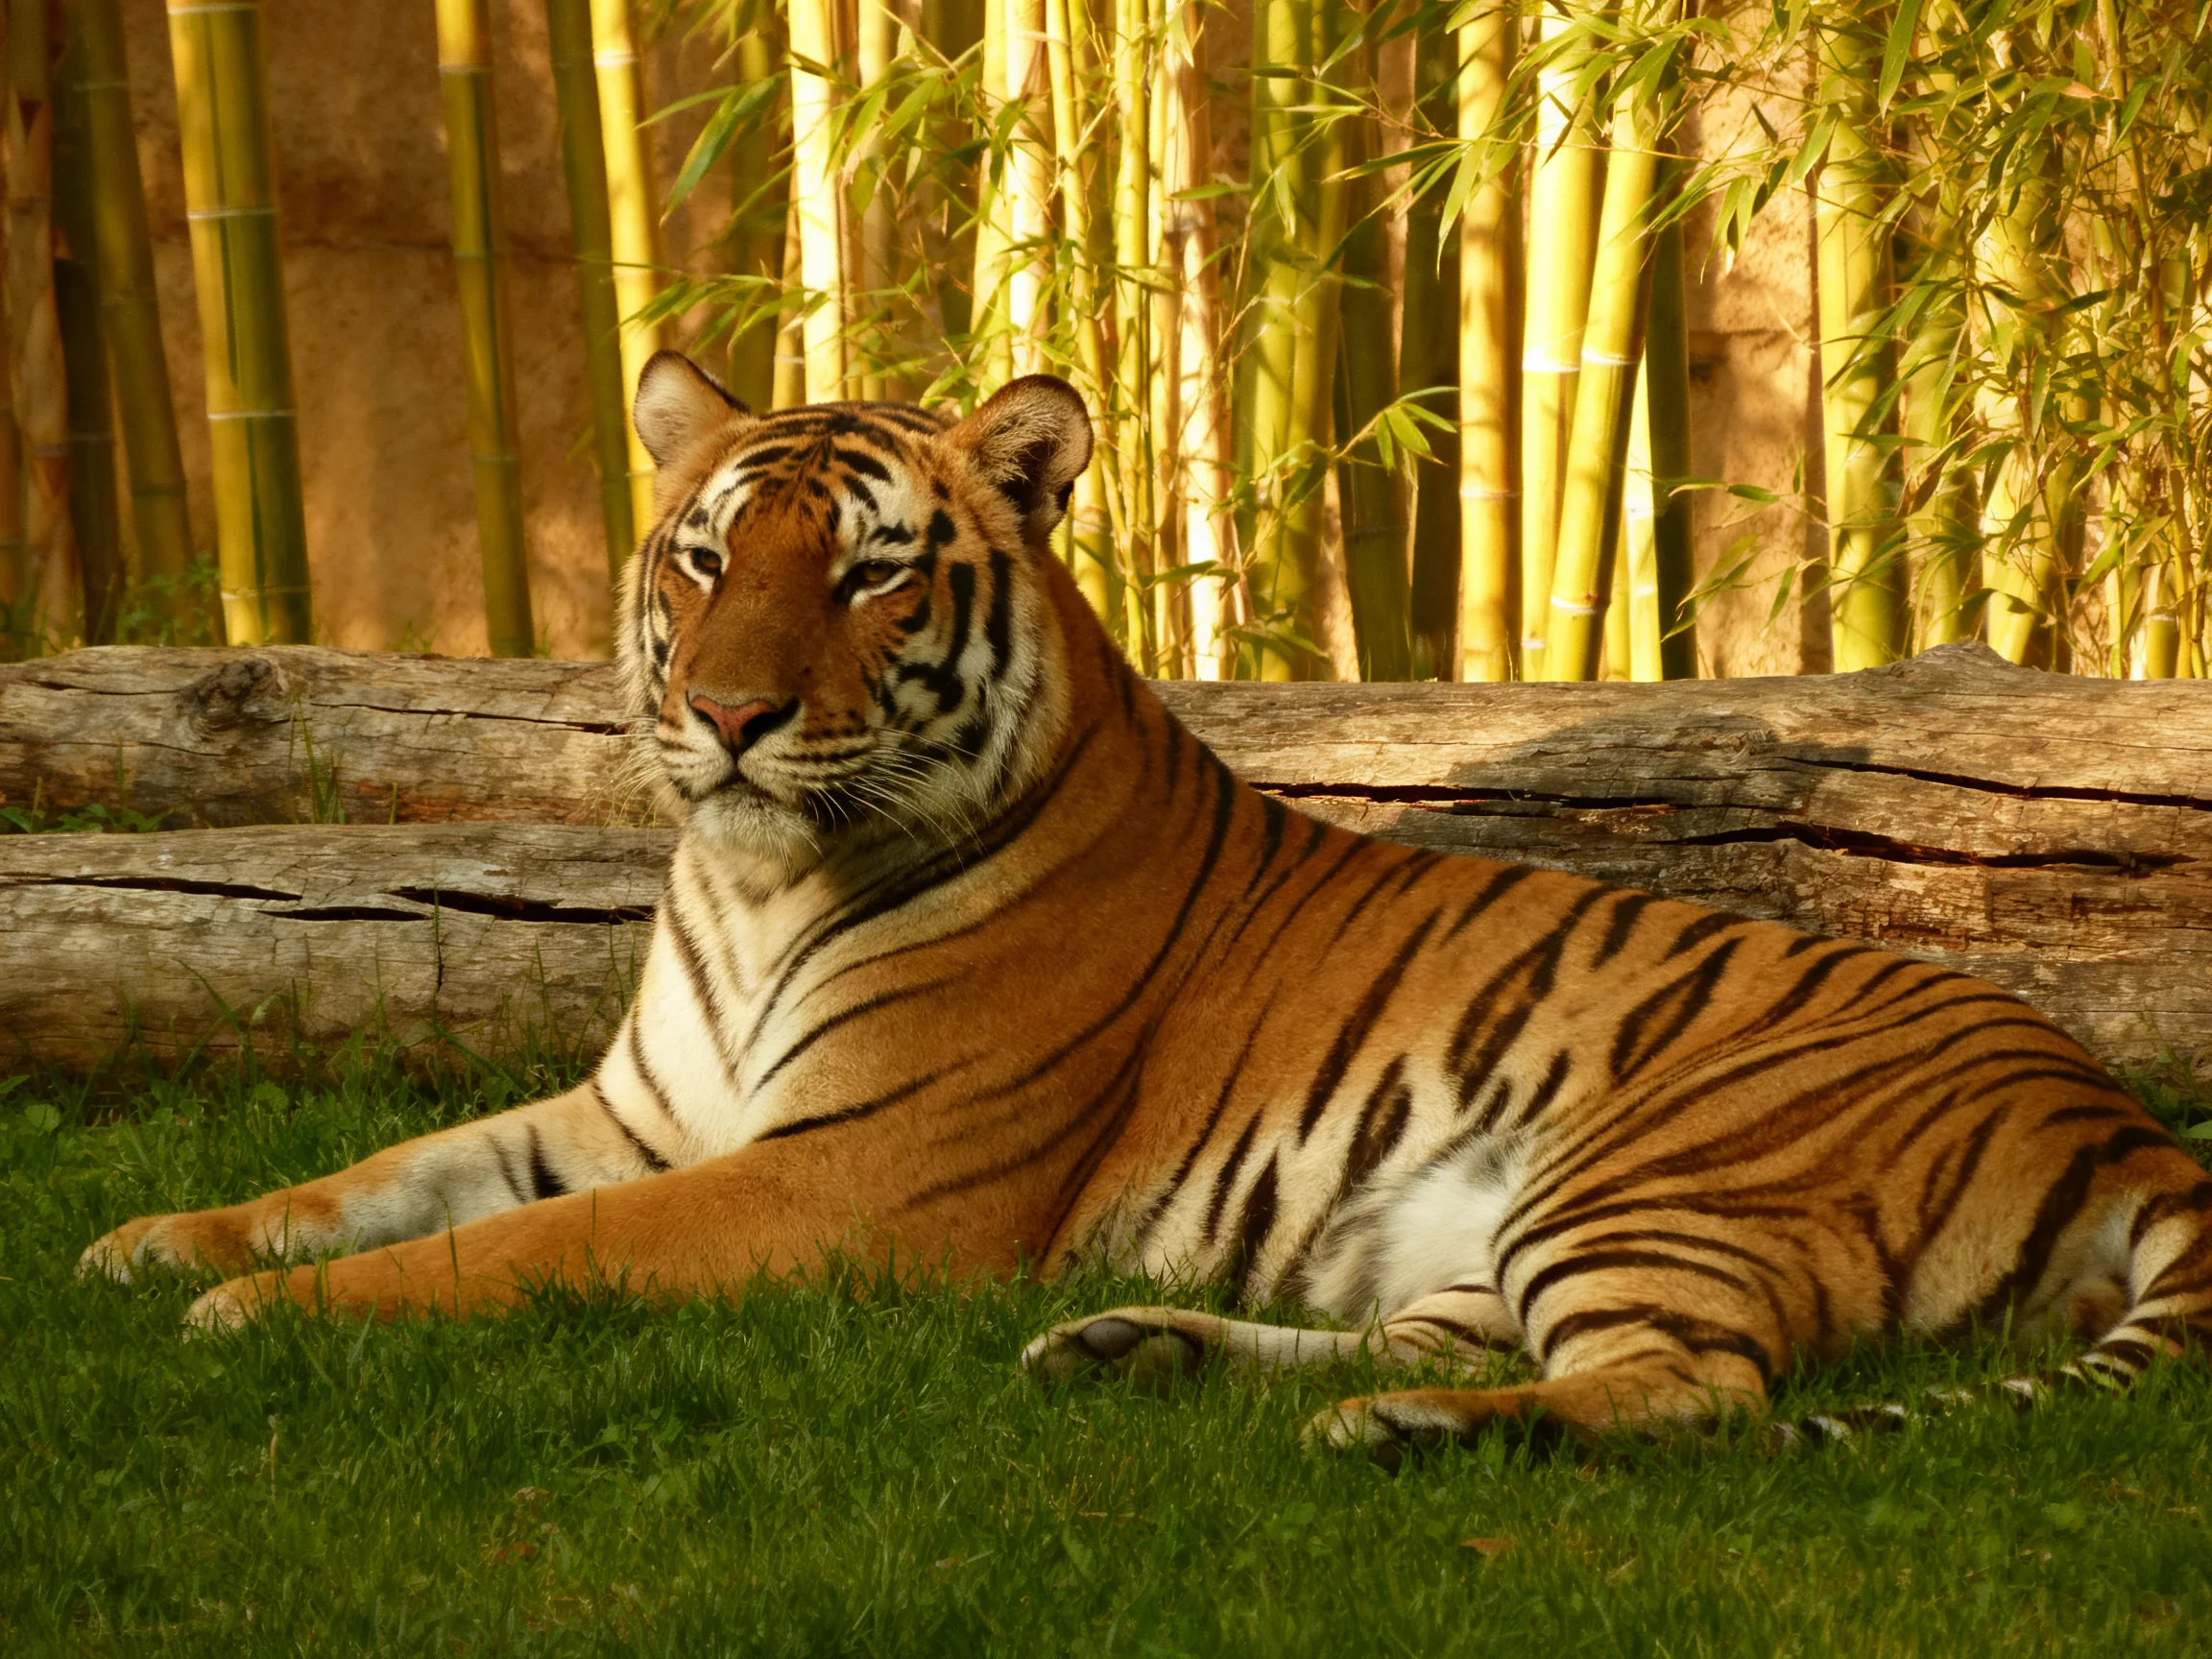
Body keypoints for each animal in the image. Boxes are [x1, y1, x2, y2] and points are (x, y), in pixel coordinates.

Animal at [81, 351, 2212, 1459]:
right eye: (701, 558)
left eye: (865, 573)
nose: (728, 714)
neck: (749, 884)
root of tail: (2109, 1108)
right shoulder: (633, 1115)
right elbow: (390, 1172)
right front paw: (155, 1244)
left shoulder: (840, 1178)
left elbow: (501, 1252)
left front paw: (253, 1316)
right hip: (1505, 1221)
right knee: (1494, 1343)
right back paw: (1151, 1357)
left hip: (1658, 1165)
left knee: (1687, 1389)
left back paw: (1399, 1438)